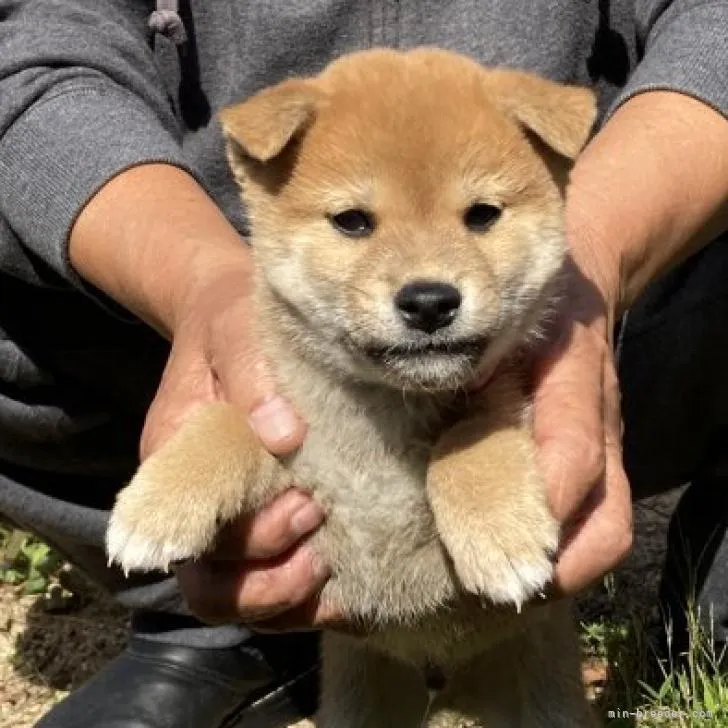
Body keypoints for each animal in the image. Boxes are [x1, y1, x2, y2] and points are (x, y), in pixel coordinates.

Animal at [106, 48, 596, 724]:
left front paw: (500, 536)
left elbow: (468, 436)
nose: (430, 301)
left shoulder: (510, 400)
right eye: (353, 222)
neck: (381, 421)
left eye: (482, 216)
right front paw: (156, 507)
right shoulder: (294, 451)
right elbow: (229, 423)